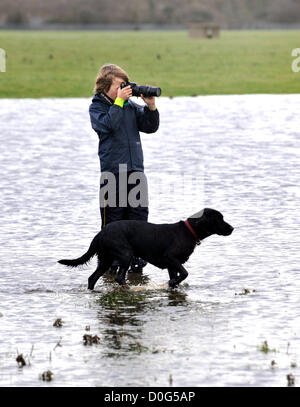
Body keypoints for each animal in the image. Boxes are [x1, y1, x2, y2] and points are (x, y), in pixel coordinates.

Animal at [58, 209, 232, 292]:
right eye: (220, 218)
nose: (232, 228)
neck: (189, 231)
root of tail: (100, 233)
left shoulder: (171, 265)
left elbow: (176, 277)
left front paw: (172, 284)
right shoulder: (171, 258)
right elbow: (184, 273)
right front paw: (173, 282)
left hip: (105, 259)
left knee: (92, 278)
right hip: (125, 254)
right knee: (119, 277)